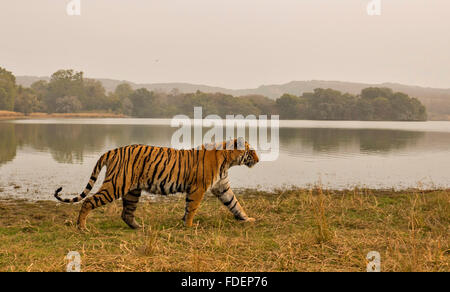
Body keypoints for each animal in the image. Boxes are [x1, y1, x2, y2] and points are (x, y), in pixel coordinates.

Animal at [54, 139, 260, 230]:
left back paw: (138, 227)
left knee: (126, 212)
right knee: (88, 201)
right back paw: (81, 227)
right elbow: (192, 208)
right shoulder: (198, 188)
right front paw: (189, 225)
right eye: (251, 151)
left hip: (132, 190)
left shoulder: (222, 187)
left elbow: (235, 204)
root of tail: (113, 150)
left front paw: (247, 218)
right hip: (116, 185)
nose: (258, 159)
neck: (227, 161)